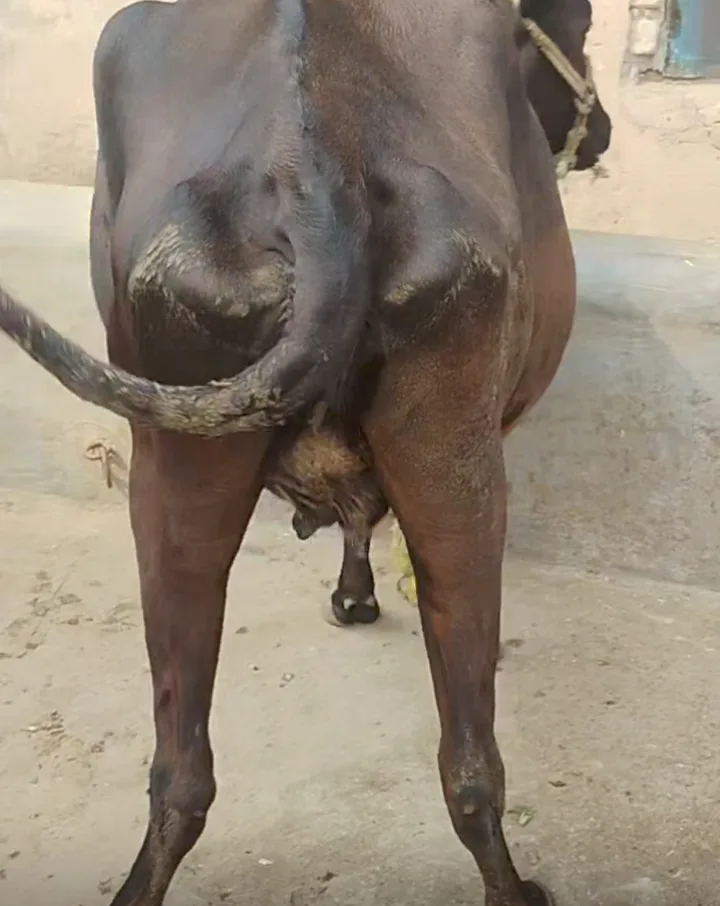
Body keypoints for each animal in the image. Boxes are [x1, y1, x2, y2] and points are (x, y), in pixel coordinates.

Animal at [0, 1, 611, 904]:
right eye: (583, 26)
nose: (599, 132)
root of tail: (309, 171)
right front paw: (357, 592)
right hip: (458, 464)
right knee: (472, 767)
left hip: (173, 468)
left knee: (181, 772)